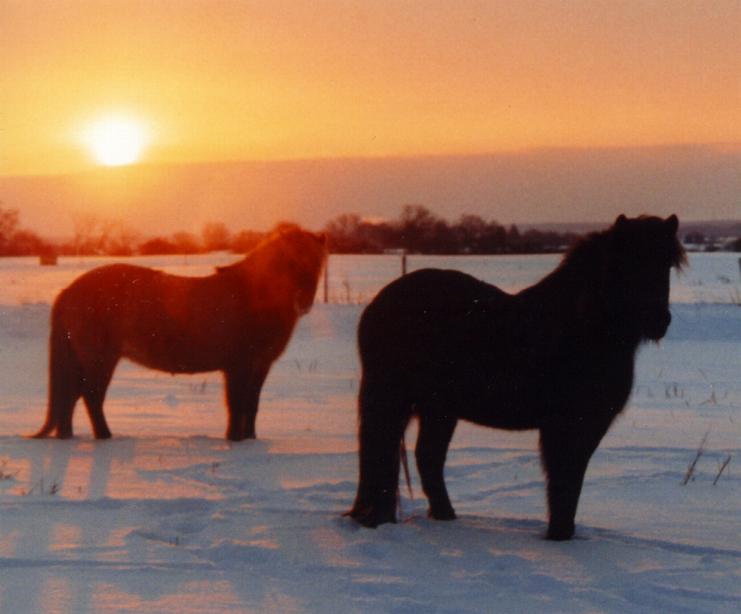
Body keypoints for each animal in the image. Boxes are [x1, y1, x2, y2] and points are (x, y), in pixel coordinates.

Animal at [31, 226, 326, 442]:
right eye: (289, 262)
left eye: (318, 263)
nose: (304, 302)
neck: (252, 295)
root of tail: (69, 291)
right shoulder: (238, 366)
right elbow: (237, 404)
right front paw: (235, 441)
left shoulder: (260, 365)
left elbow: (252, 405)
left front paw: (250, 441)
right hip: (100, 358)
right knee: (90, 396)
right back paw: (105, 438)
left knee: (70, 398)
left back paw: (68, 439)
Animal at [350, 215, 684, 540]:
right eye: (628, 263)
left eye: (666, 264)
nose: (659, 320)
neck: (579, 328)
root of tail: (378, 303)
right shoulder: (562, 425)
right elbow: (563, 481)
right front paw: (559, 537)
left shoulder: (590, 426)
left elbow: (573, 480)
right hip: (394, 399)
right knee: (383, 452)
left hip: (439, 409)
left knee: (425, 458)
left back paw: (443, 519)